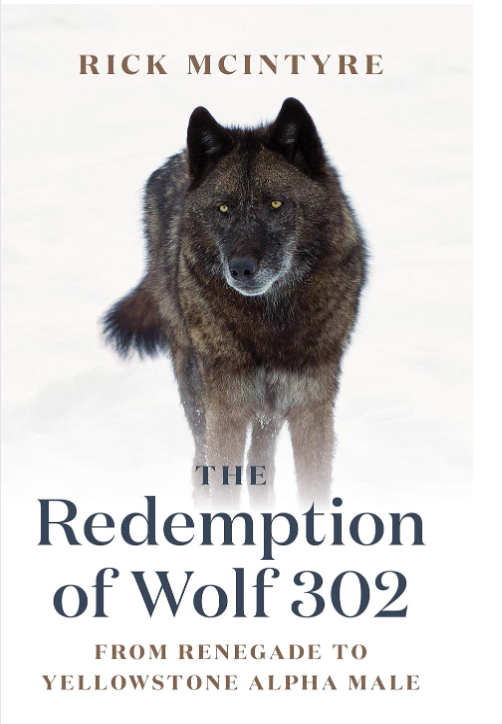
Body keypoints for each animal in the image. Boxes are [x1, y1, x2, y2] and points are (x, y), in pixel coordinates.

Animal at [103, 98, 367, 507]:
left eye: (275, 204)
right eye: (224, 209)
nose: (241, 269)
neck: (271, 323)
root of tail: (178, 158)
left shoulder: (311, 407)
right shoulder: (226, 409)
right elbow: (222, 483)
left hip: (268, 412)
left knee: (262, 462)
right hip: (197, 389)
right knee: (202, 460)